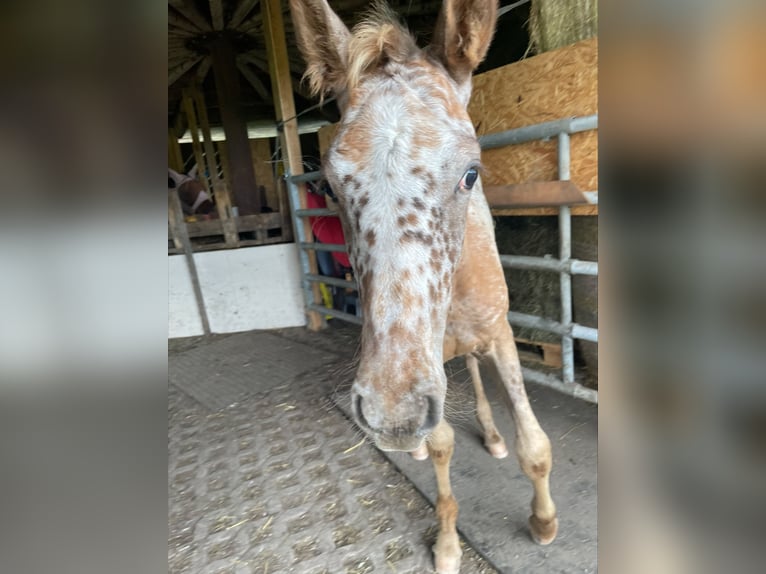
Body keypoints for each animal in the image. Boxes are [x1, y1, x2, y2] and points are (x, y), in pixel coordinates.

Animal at [292, 2, 560, 572]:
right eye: (330, 187)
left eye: (471, 173)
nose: (391, 416)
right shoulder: (427, 368)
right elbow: (441, 449)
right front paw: (447, 545)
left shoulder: (500, 334)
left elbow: (534, 444)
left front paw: (544, 523)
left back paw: (492, 435)